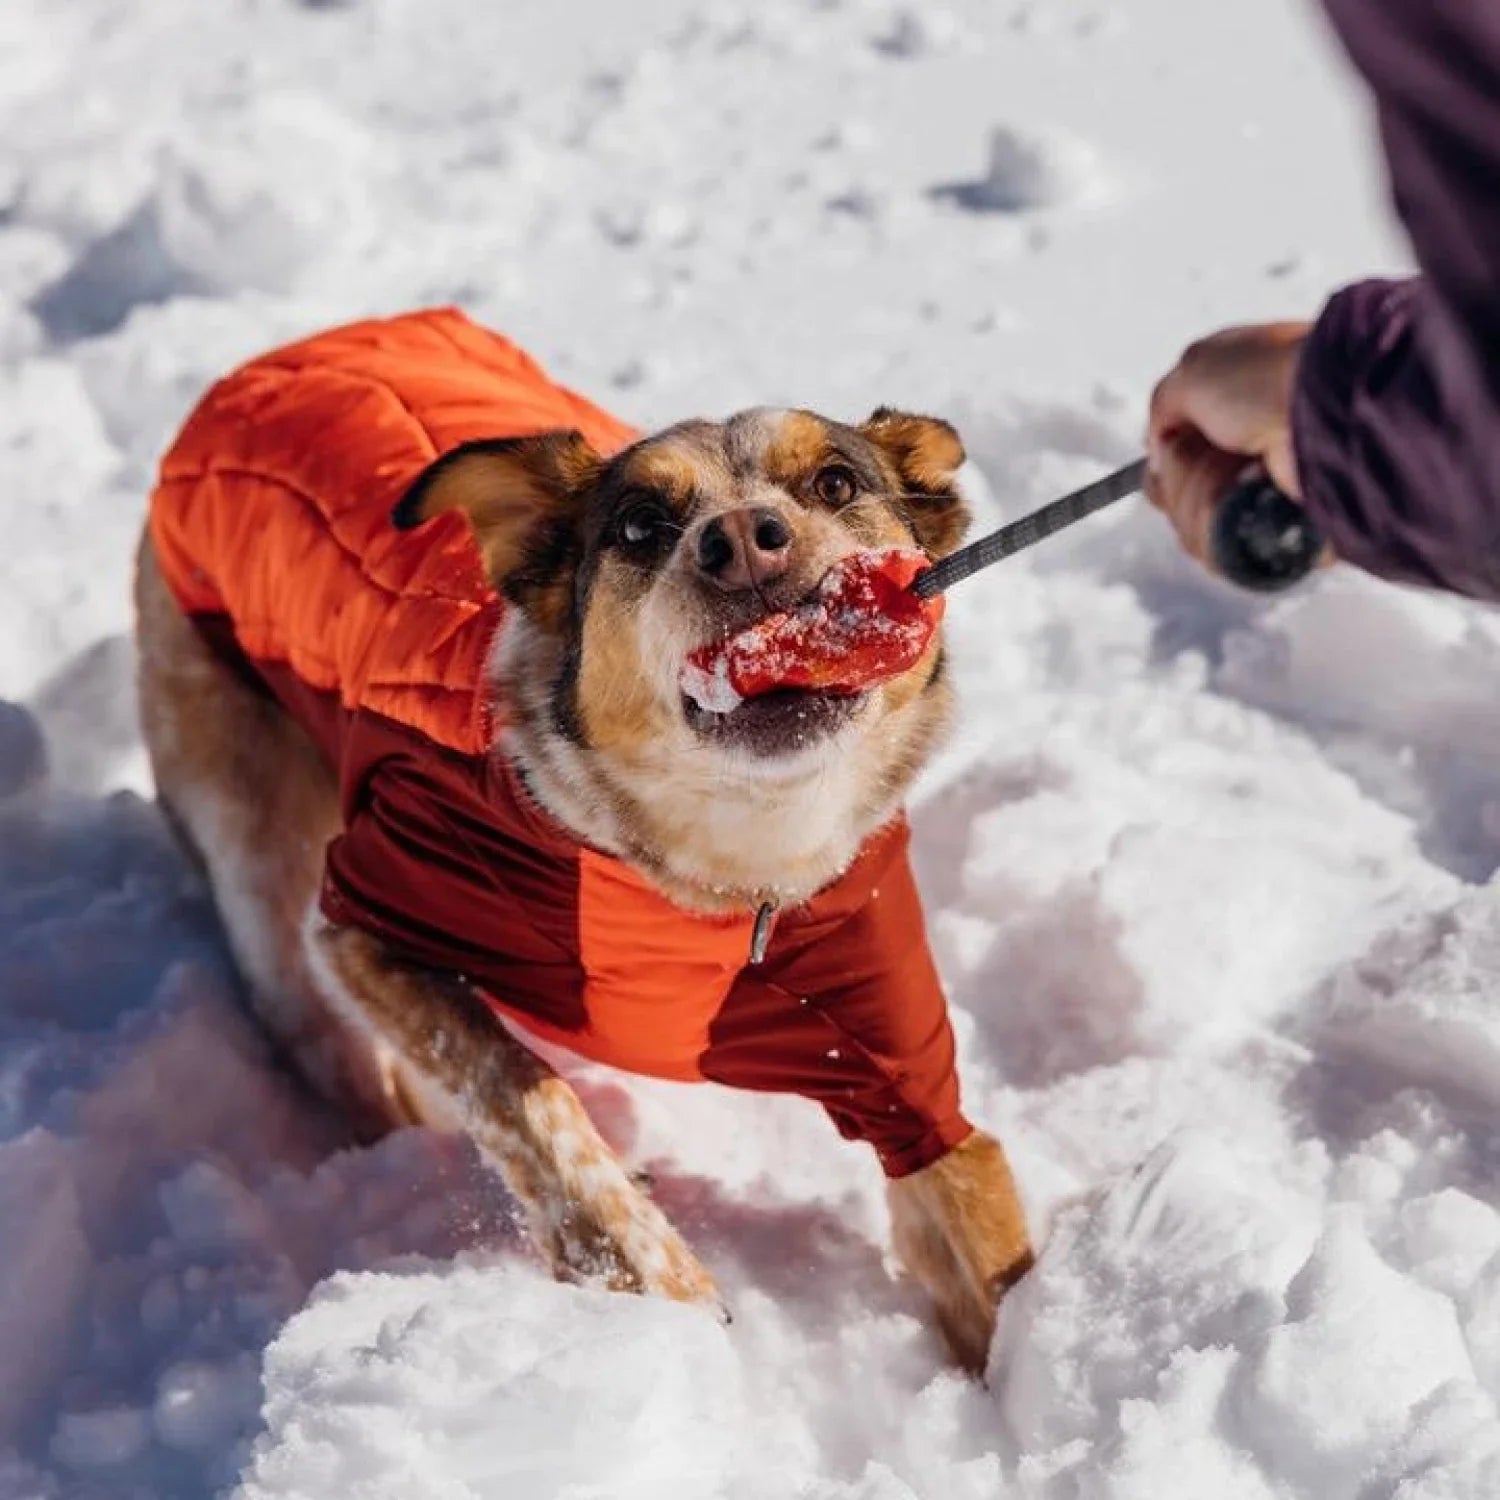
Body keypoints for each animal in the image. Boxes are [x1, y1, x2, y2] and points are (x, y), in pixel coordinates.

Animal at [132, 310, 1032, 1368]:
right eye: (640, 525)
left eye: (836, 484)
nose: (745, 540)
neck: (719, 878)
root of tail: (285, 353)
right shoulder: (373, 914)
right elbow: (523, 1089)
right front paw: (652, 1280)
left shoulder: (892, 1057)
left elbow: (980, 1219)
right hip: (240, 792)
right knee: (301, 1010)